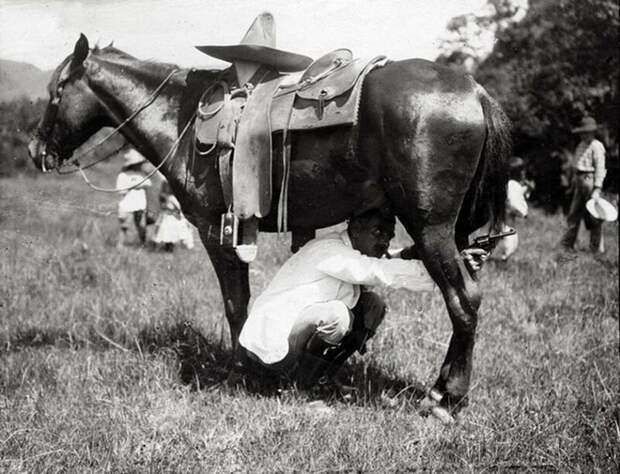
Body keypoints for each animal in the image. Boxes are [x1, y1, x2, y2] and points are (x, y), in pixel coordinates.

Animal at [29, 34, 512, 422]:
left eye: (56, 92)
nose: (36, 150)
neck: (183, 119)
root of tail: (474, 90)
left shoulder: (215, 229)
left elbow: (236, 304)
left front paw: (241, 369)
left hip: (432, 230)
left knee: (464, 301)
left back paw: (446, 397)